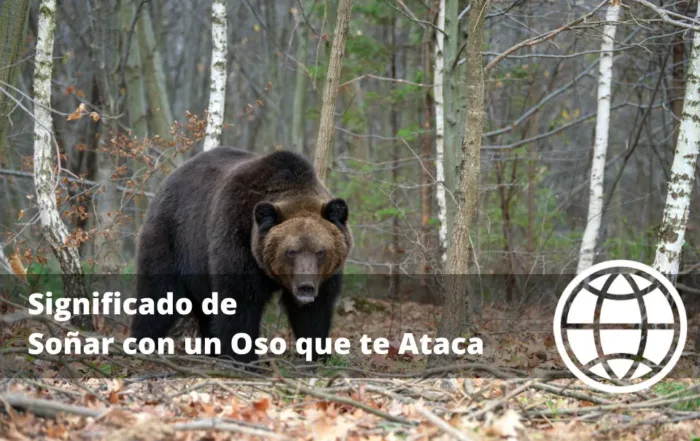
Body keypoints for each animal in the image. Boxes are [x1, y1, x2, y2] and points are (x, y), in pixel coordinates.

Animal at [130, 147, 351, 363]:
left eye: (320, 251)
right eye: (291, 251)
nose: (306, 286)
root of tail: (170, 179)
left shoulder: (325, 278)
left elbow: (315, 313)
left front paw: (319, 356)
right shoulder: (237, 237)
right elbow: (240, 302)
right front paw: (244, 359)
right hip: (172, 239)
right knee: (158, 296)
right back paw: (142, 344)